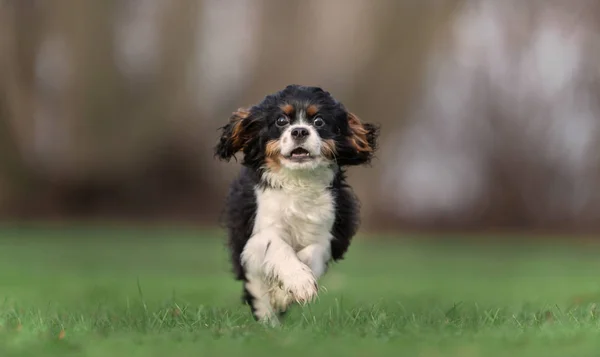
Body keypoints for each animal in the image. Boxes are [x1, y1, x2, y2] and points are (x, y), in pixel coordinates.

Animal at [213, 83, 378, 322]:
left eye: (319, 121)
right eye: (281, 121)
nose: (299, 131)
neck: (299, 180)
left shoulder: (327, 230)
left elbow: (312, 252)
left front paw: (288, 291)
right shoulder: (258, 234)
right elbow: (277, 246)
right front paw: (299, 283)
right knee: (257, 292)